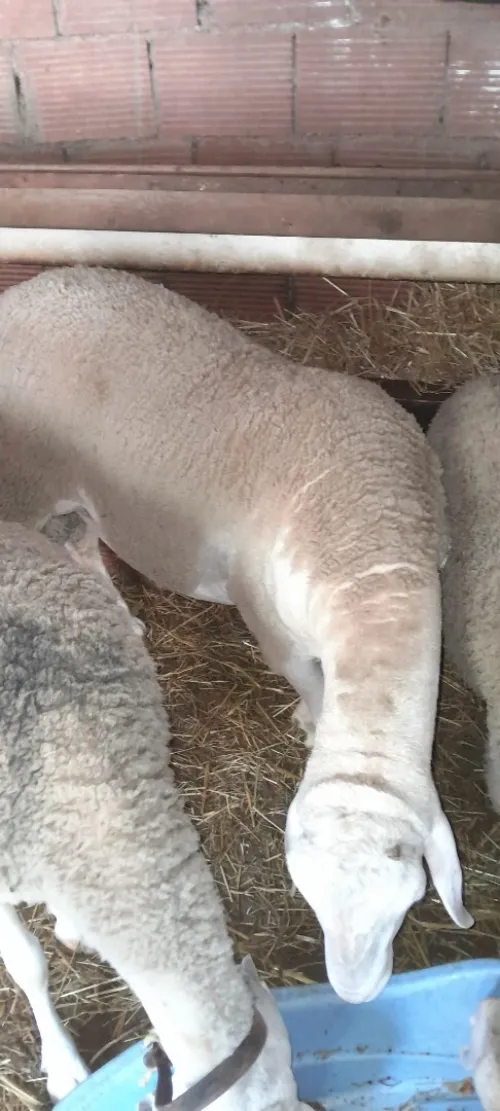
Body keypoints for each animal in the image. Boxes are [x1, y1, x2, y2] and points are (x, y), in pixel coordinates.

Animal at [0, 265, 473, 1004]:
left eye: (407, 902)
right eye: (308, 899)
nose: (353, 996)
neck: (368, 542)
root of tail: (25, 292)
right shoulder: (271, 624)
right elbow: (308, 684)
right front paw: (313, 721)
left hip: (72, 499)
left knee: (77, 545)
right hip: (23, 483)